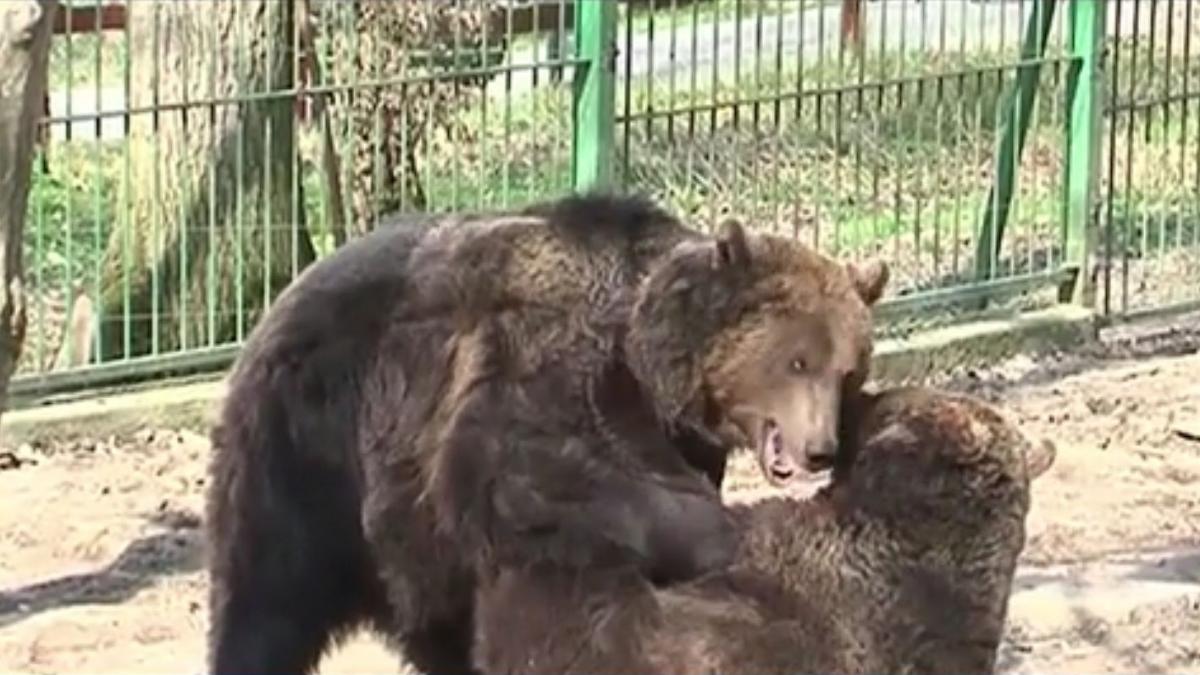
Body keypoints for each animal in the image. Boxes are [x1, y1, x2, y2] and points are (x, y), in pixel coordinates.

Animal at [201, 192, 888, 667]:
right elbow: (539, 478)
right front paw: (714, 534)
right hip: (307, 452)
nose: (820, 448)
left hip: (408, 536)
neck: (645, 365)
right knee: (268, 600)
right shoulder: (536, 370)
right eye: (797, 361)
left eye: (849, 370)